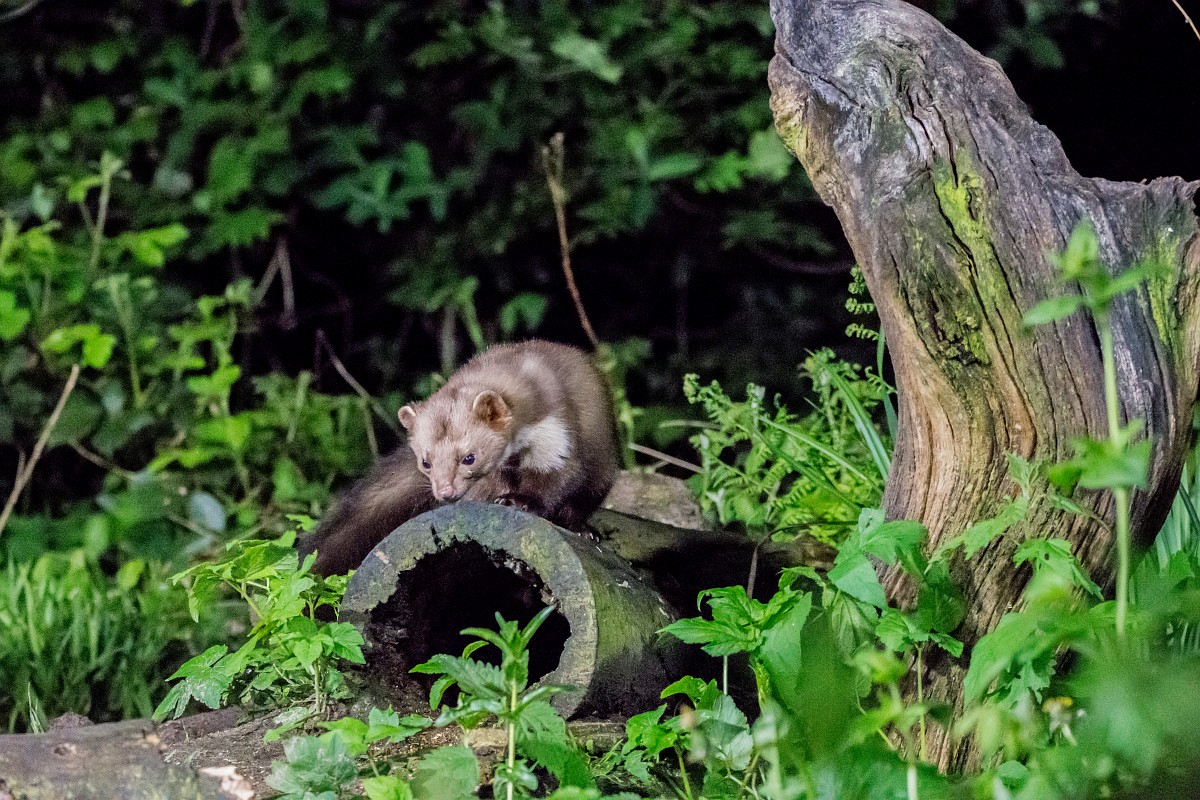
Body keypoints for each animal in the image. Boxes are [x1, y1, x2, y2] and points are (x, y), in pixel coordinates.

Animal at [299, 340, 620, 575]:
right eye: (425, 461)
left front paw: (519, 502)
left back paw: (584, 529)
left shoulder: (558, 439)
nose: (445, 491)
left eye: (469, 457)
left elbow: (559, 479)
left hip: (604, 468)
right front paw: (499, 499)